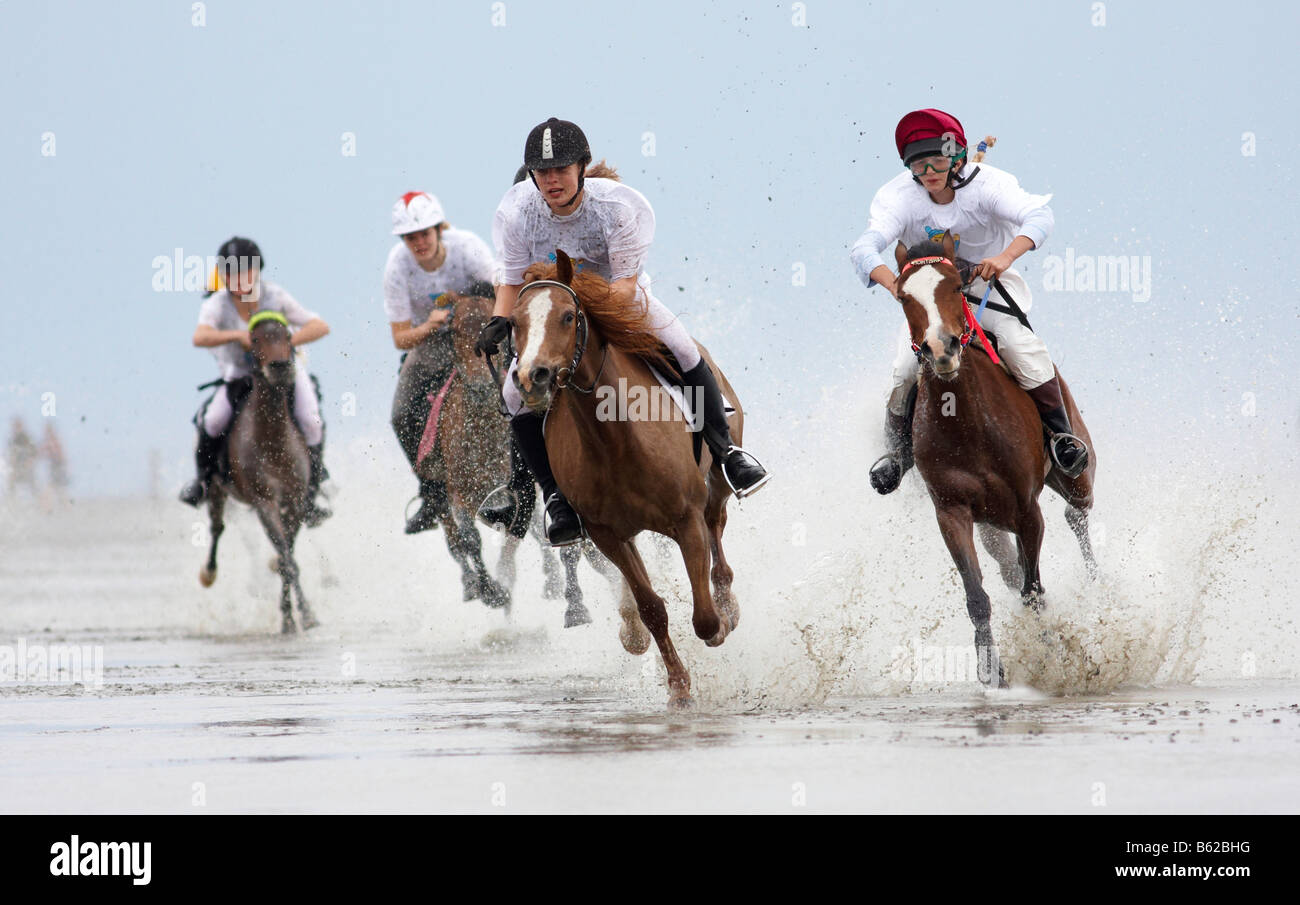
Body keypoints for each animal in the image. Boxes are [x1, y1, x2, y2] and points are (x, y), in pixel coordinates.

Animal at [197, 314, 319, 631]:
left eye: (288, 336)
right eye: (254, 339)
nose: (279, 367)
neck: (273, 439)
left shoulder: (294, 502)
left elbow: (287, 554)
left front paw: (294, 615)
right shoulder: (265, 501)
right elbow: (287, 558)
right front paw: (300, 615)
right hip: (217, 489)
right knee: (217, 528)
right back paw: (208, 572)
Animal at [512, 250, 748, 712]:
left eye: (568, 316)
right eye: (515, 321)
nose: (534, 376)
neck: (614, 439)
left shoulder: (686, 520)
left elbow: (703, 617)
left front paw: (719, 624)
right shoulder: (607, 535)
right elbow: (652, 607)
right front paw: (678, 685)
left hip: (716, 484)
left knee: (718, 525)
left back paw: (728, 601)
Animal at [894, 231, 1097, 686]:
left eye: (956, 285)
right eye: (903, 296)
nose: (942, 348)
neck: (969, 424)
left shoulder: (1027, 509)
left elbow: (1033, 592)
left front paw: (1051, 653)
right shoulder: (952, 511)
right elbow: (978, 595)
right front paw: (991, 668)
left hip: (1077, 475)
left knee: (1077, 516)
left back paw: (1102, 590)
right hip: (991, 525)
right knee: (1011, 568)